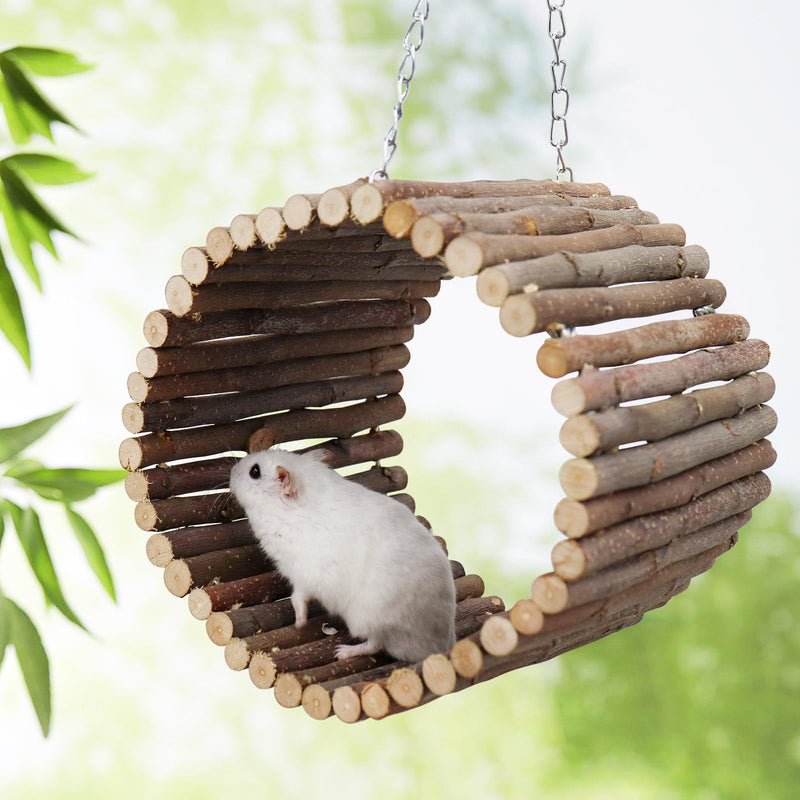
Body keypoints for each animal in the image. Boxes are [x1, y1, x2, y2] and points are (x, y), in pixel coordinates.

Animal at [229, 448, 456, 663]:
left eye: (255, 471)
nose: (231, 471)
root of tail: (440, 645)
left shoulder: (307, 575)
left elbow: (297, 597)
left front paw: (299, 623)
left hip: (367, 616)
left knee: (375, 643)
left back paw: (342, 652)